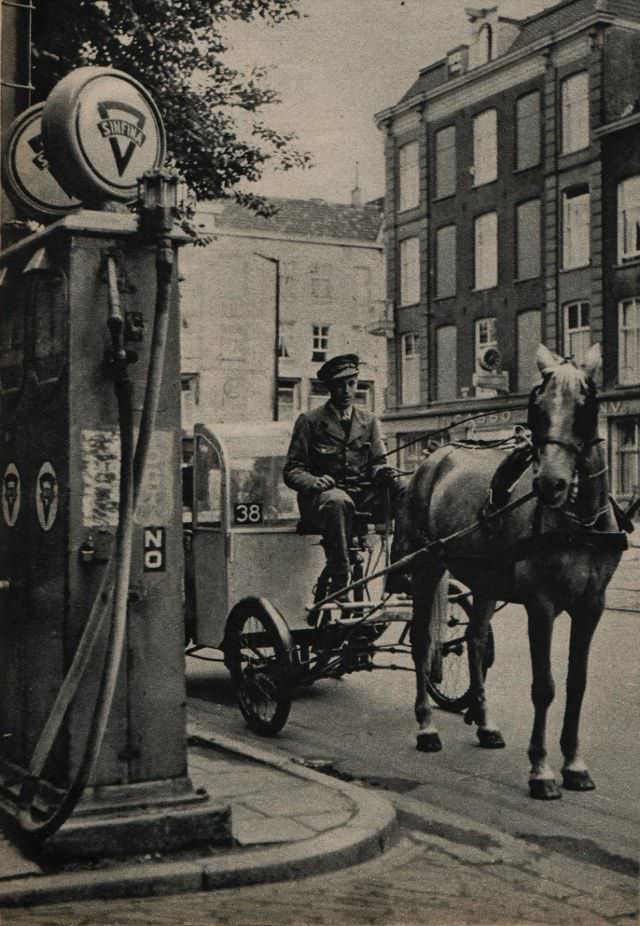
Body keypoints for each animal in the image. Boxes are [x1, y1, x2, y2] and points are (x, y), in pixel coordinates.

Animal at [408, 344, 628, 800]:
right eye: (537, 407)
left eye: (586, 405)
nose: (551, 484)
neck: (578, 521)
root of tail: (435, 455)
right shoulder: (541, 606)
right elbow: (544, 686)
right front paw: (541, 770)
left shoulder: (591, 606)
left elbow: (576, 683)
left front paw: (574, 764)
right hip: (426, 563)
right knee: (422, 642)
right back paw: (426, 727)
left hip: (486, 580)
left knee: (474, 640)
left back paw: (485, 723)